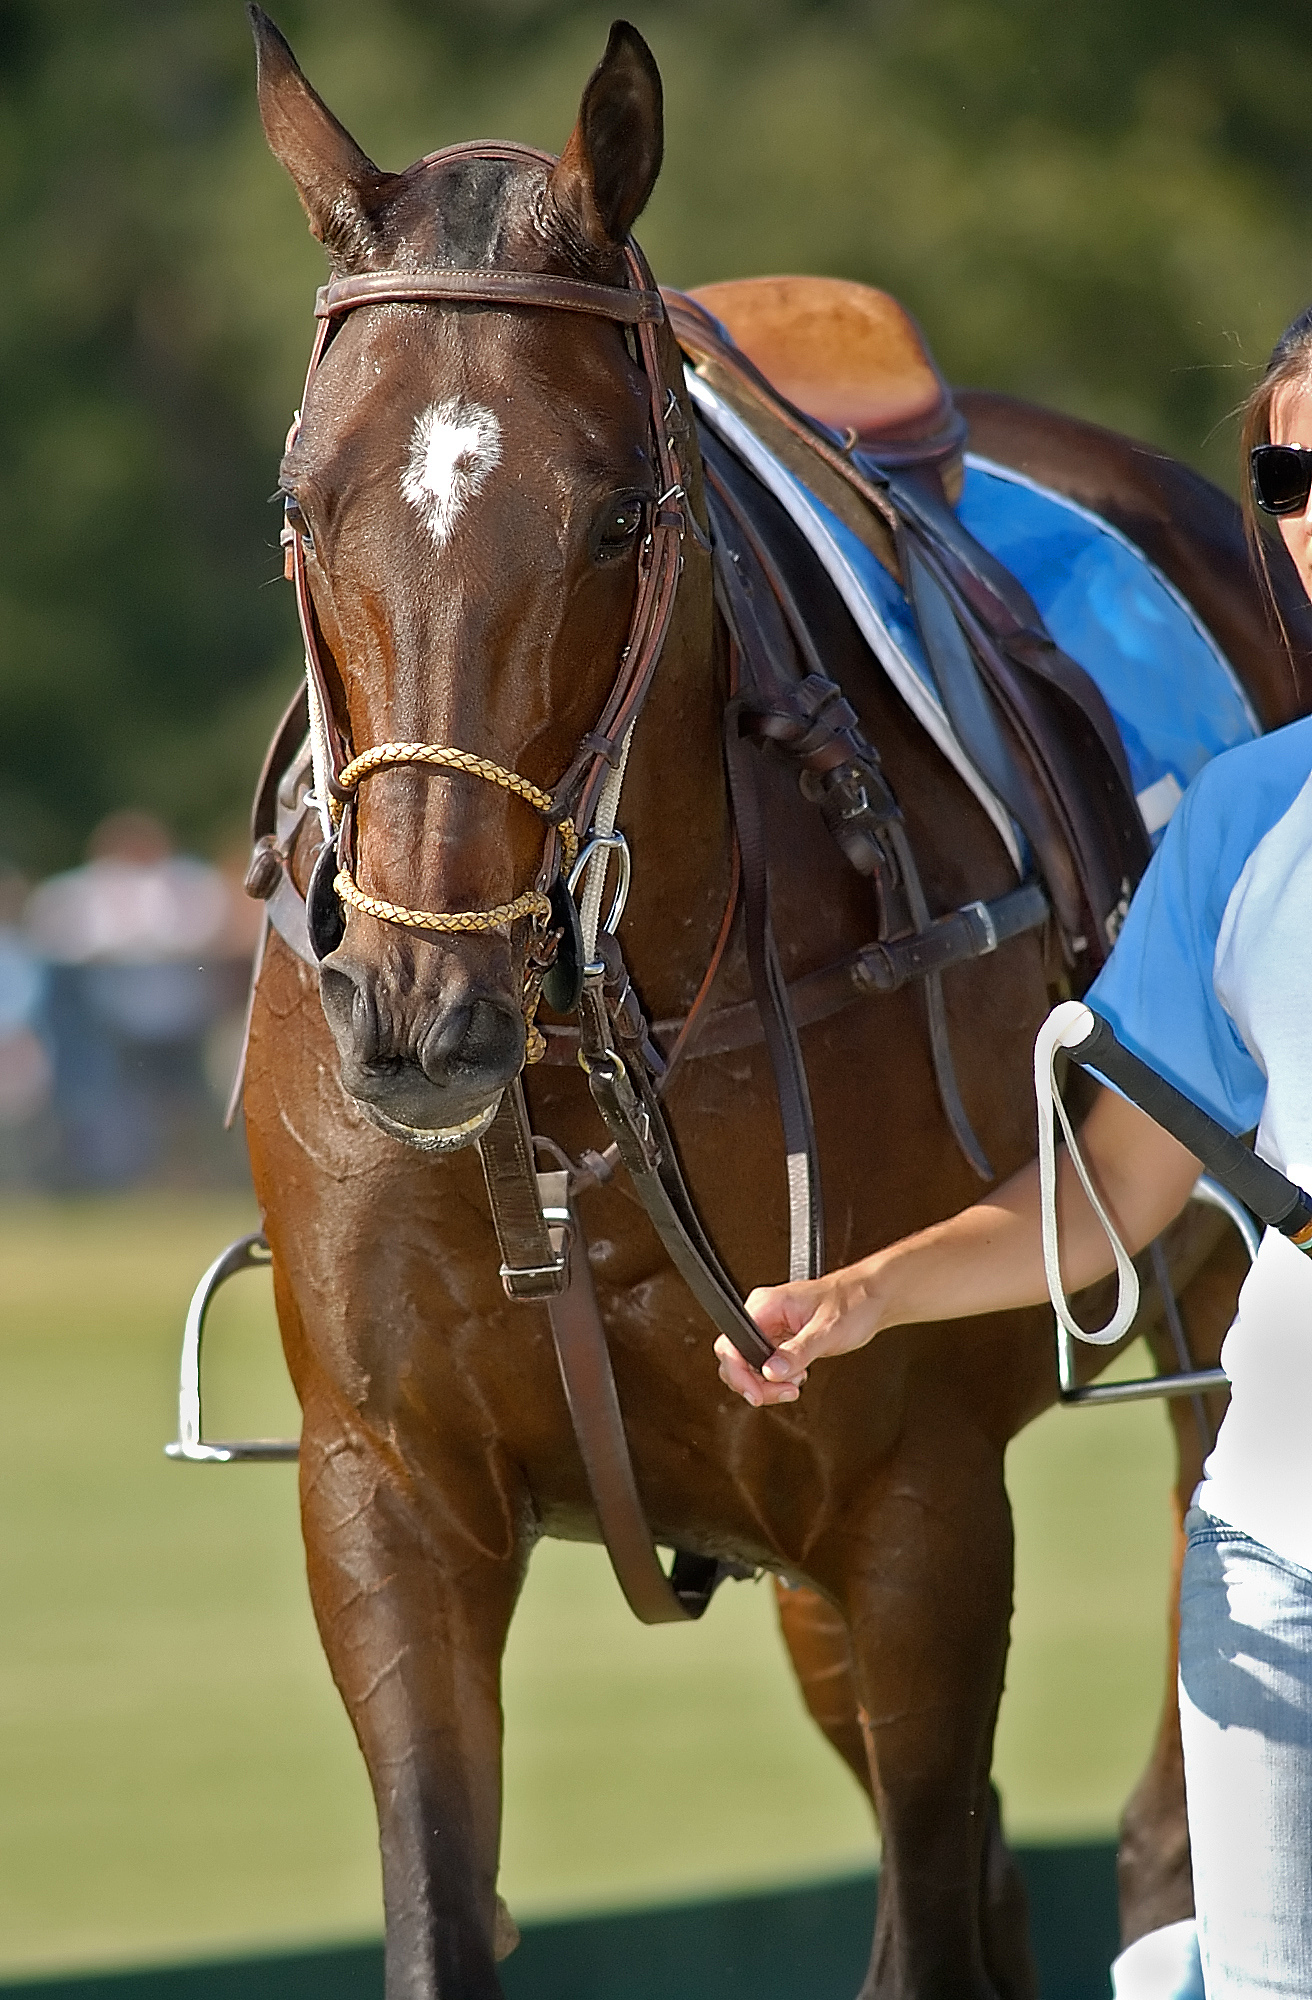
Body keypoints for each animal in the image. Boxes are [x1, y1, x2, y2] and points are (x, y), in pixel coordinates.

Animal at [239, 11, 1310, 1997]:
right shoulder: (386, 1498)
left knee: (1147, 1836)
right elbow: (439, 1911)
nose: (414, 1017)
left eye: (614, 517)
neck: (576, 1065)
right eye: (298, 504)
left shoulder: (918, 1507)